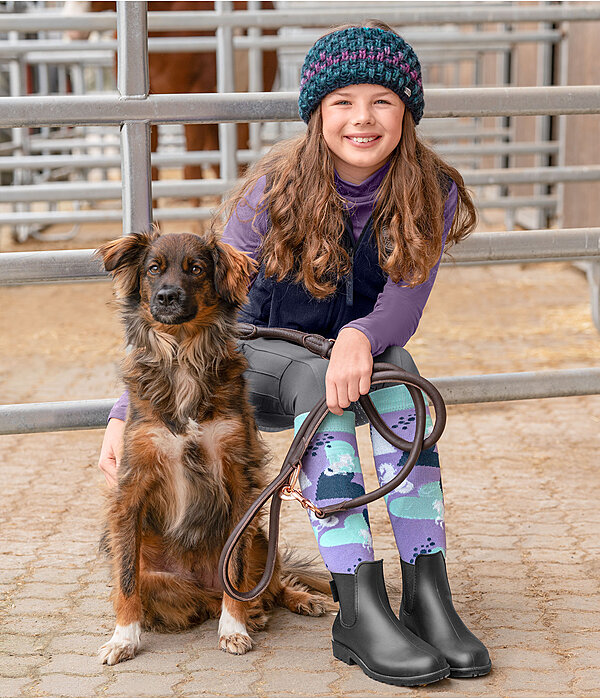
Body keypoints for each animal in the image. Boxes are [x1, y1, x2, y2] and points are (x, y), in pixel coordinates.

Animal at [95, 231, 328, 668]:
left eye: (196, 269)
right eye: (153, 268)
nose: (167, 296)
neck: (183, 354)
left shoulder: (239, 478)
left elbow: (234, 571)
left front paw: (233, 628)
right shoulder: (131, 486)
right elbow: (126, 580)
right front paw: (124, 638)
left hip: (260, 537)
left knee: (269, 581)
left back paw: (288, 602)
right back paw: (253, 612)